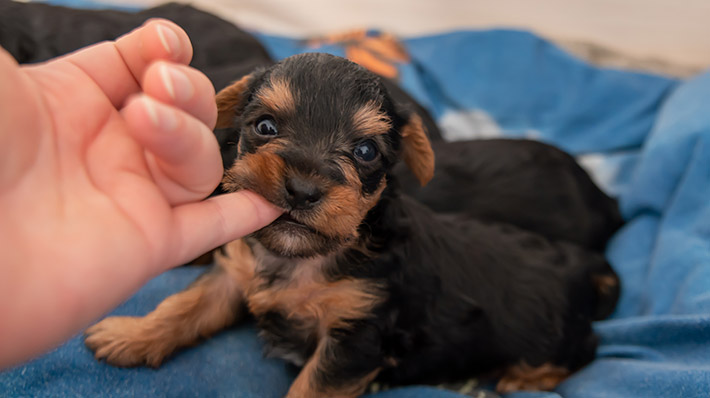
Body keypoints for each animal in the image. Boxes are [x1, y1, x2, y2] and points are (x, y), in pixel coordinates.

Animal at [86, 53, 624, 398]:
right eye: (265, 127)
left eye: (365, 151)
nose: (302, 189)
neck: (308, 254)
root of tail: (585, 265)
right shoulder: (235, 272)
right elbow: (186, 303)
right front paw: (132, 334)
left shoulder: (356, 337)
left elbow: (311, 387)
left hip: (552, 334)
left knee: (586, 350)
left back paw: (524, 378)